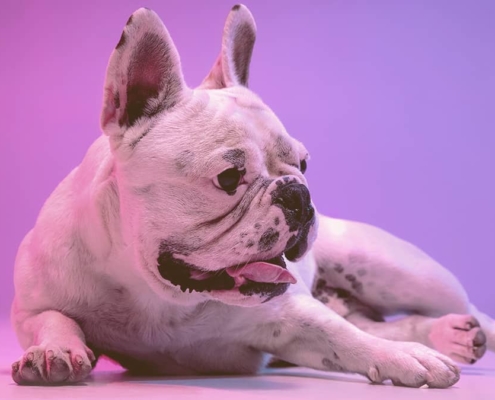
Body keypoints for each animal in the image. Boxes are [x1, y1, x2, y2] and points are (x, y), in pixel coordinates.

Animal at [9, 4, 494, 390]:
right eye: (228, 178)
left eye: (304, 165)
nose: (299, 196)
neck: (159, 298)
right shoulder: (30, 305)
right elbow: (51, 319)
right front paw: (54, 352)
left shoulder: (292, 317)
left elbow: (344, 336)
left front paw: (404, 358)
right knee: (380, 321)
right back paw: (450, 334)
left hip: (399, 271)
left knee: (450, 310)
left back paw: (458, 332)